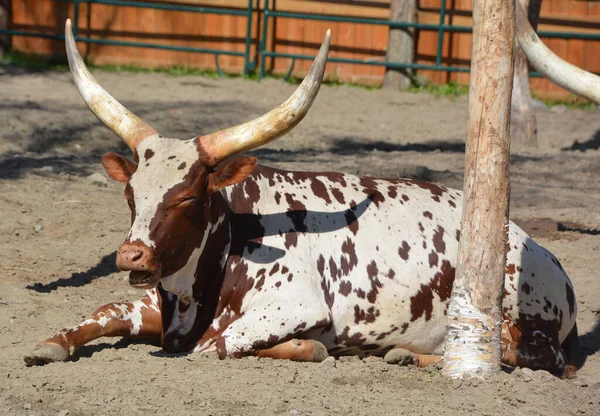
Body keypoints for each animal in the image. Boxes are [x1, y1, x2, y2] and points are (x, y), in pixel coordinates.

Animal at [24, 13, 592, 376]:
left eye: (185, 198)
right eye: (131, 195)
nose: (131, 255)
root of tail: (545, 254)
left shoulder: (291, 305)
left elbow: (215, 345)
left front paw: (310, 348)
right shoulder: (157, 304)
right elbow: (107, 309)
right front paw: (48, 346)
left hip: (525, 318)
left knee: (528, 356)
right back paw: (409, 356)